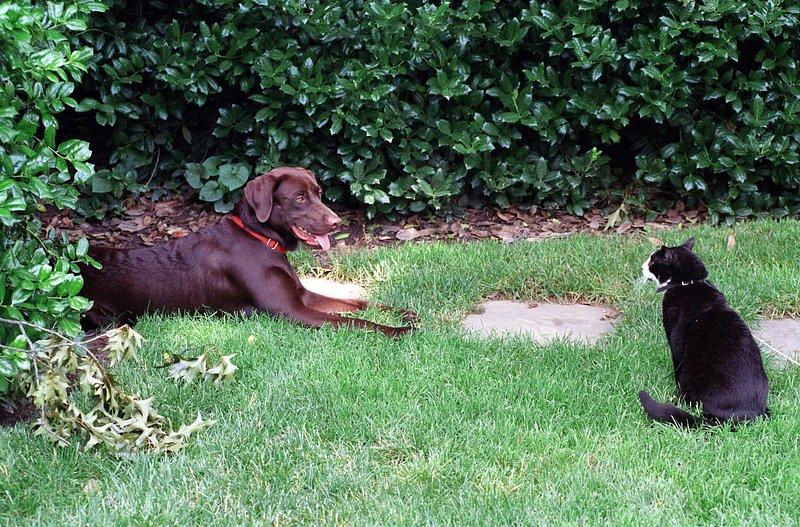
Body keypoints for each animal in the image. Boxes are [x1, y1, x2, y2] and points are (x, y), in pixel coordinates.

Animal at [636, 237, 768, 426]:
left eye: (652, 260)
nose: (641, 266)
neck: (688, 283)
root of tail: (745, 415)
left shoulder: (675, 338)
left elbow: (676, 366)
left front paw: (675, 396)